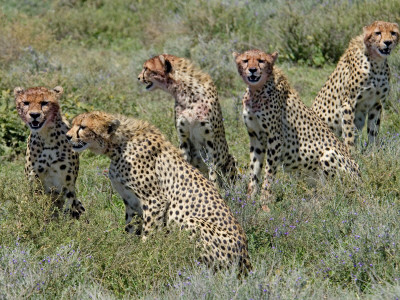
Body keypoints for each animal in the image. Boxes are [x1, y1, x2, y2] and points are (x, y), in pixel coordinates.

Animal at [14, 86, 85, 218]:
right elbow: (38, 205)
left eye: (44, 103)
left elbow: (68, 207)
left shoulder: (68, 183)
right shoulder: (34, 179)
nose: (34, 115)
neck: (47, 135)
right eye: (26, 103)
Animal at [67, 111, 252, 274]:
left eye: (83, 127)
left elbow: (148, 233)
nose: (68, 136)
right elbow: (130, 228)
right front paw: (127, 249)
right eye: (73, 124)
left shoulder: (154, 200)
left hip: (192, 222)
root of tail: (247, 258)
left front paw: (144, 255)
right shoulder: (130, 202)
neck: (118, 145)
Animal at [138, 52, 238, 186]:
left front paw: (214, 187)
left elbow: (212, 171)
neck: (185, 92)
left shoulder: (211, 142)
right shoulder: (183, 138)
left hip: (231, 158)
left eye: (146, 68)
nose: (138, 77)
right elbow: (184, 166)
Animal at [231, 49, 360, 209]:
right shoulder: (256, 137)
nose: (253, 70)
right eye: (245, 60)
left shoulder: (275, 138)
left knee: (336, 191)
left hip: (329, 155)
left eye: (261, 60)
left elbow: (269, 172)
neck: (257, 91)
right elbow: (254, 170)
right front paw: (249, 200)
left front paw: (265, 202)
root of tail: (361, 179)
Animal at [312, 20, 400, 149]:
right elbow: (349, 131)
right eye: (377, 33)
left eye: (393, 33)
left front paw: (373, 151)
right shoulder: (349, 103)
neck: (376, 62)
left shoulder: (376, 103)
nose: (388, 42)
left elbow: (373, 130)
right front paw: (351, 151)